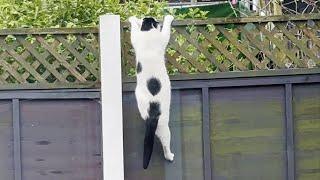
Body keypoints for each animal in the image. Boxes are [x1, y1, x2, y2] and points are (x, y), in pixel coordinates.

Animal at [128, 15, 175, 169]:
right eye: (156, 22)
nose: (158, 22)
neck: (147, 31)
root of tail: (151, 113)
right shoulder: (162, 38)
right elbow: (166, 30)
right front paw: (168, 17)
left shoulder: (135, 38)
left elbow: (134, 30)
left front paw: (133, 19)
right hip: (165, 127)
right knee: (166, 144)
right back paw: (170, 156)